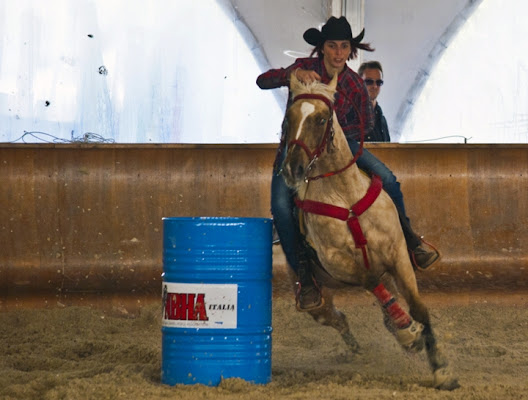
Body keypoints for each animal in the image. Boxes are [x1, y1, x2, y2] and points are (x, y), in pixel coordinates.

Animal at [280, 72, 458, 390]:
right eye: (289, 118)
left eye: (322, 119)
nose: (292, 169)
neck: (345, 197)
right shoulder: (338, 262)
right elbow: (371, 280)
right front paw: (405, 331)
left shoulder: (398, 256)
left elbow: (419, 308)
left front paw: (441, 369)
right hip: (316, 301)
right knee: (337, 318)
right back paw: (364, 344)